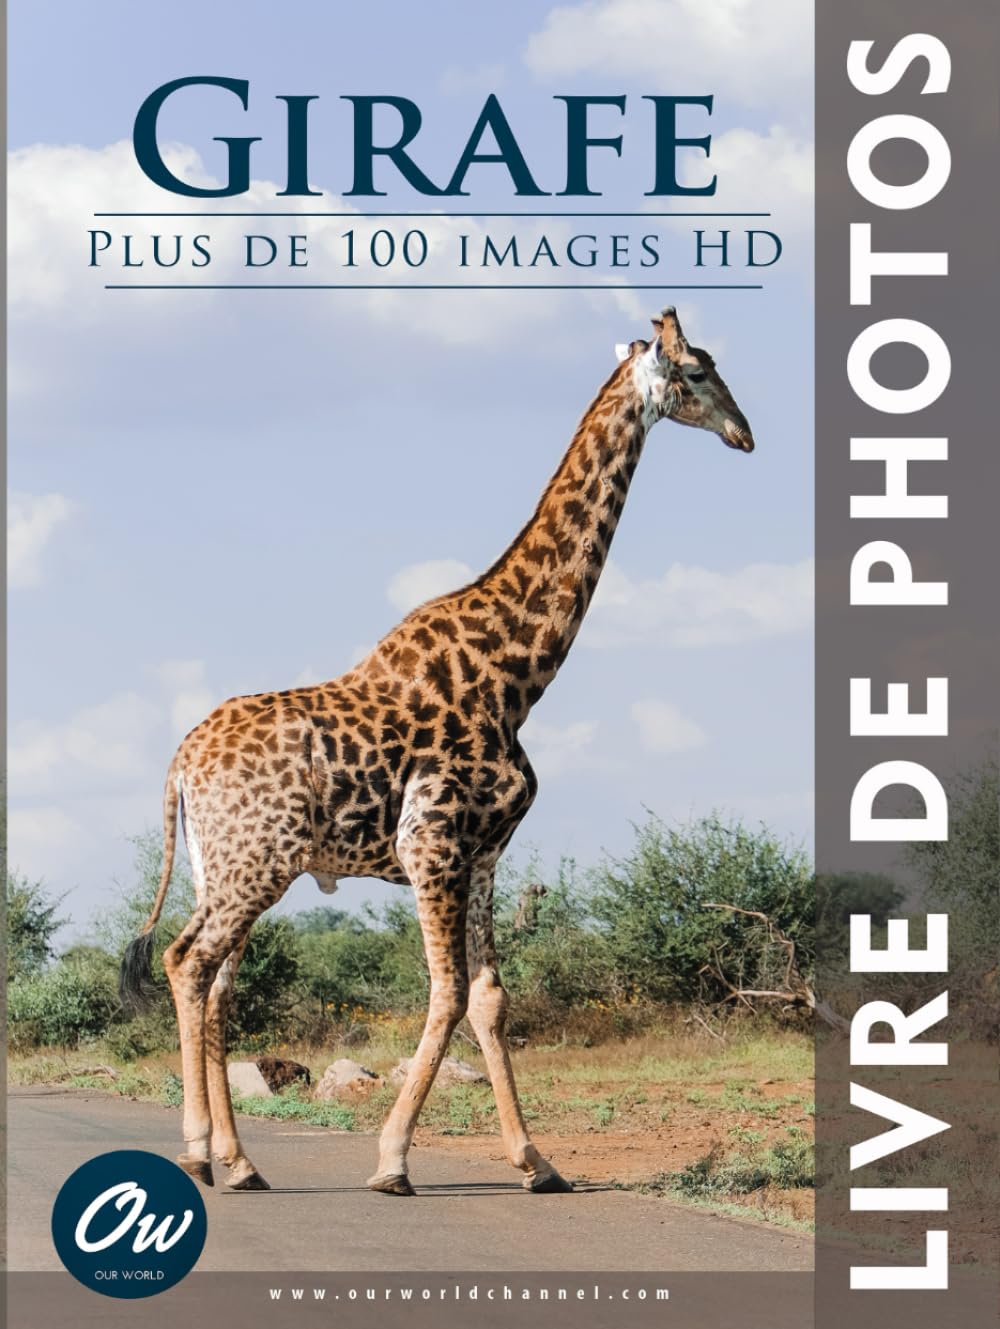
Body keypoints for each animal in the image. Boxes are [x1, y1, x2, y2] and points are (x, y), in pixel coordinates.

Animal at [120, 306, 755, 1197]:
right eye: (697, 370)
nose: (746, 433)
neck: (518, 674)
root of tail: (181, 762)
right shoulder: (432, 842)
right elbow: (446, 992)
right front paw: (392, 1160)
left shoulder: (485, 851)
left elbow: (488, 995)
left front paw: (537, 1161)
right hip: (258, 864)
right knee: (188, 964)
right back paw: (212, 1154)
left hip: (228, 868)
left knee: (212, 981)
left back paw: (227, 1157)